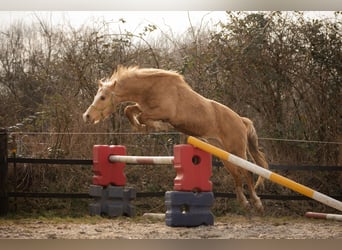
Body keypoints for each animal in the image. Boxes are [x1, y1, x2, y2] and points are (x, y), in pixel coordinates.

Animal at [83, 65, 270, 213]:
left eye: (102, 97)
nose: (87, 116)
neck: (151, 88)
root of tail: (241, 120)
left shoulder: (163, 112)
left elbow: (142, 116)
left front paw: (154, 127)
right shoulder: (144, 107)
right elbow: (129, 110)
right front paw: (142, 127)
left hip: (236, 150)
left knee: (247, 172)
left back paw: (257, 204)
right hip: (223, 153)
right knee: (236, 174)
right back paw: (244, 203)